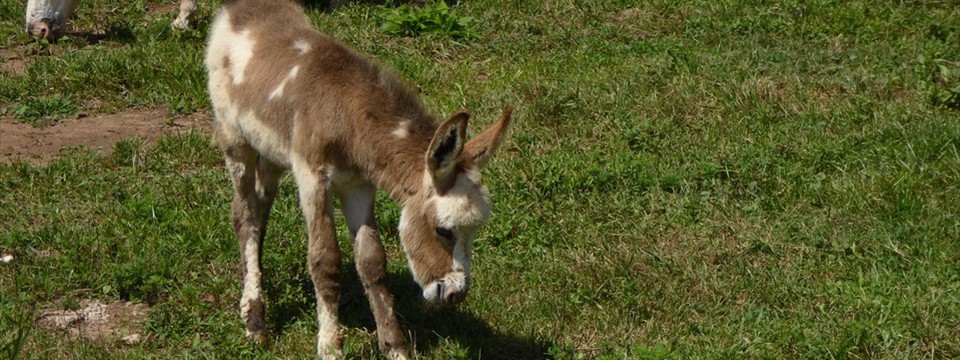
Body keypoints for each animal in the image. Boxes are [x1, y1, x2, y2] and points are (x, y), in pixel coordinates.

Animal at [204, 0, 510, 358]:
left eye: (474, 231)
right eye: (444, 231)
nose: (455, 295)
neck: (349, 118)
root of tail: (240, 8)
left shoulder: (359, 188)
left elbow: (372, 262)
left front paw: (395, 347)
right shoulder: (312, 180)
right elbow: (325, 260)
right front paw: (330, 346)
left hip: (270, 153)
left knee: (260, 209)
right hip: (234, 139)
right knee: (245, 216)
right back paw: (255, 322)